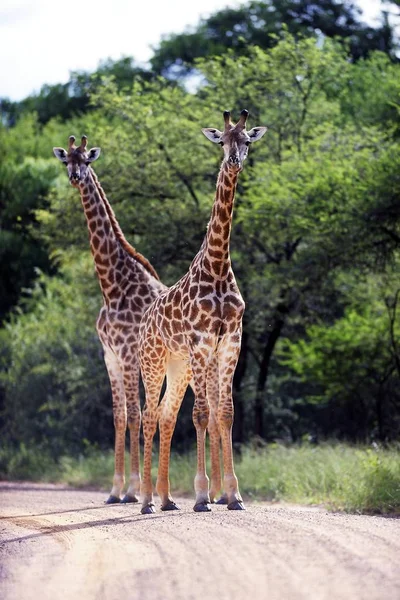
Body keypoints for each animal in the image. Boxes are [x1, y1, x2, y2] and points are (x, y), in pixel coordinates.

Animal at [53, 135, 166, 502]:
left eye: (87, 161)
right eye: (66, 161)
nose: (75, 177)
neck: (112, 286)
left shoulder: (128, 354)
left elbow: (133, 416)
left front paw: (133, 490)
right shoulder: (110, 356)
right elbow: (119, 417)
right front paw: (115, 490)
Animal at [139, 113, 268, 516]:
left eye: (246, 140)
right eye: (221, 141)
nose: (234, 160)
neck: (218, 265)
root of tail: (146, 319)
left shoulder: (230, 342)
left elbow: (224, 412)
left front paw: (234, 495)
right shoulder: (200, 342)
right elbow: (200, 415)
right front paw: (200, 496)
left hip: (178, 365)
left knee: (165, 415)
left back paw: (165, 500)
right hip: (153, 362)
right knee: (148, 416)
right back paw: (145, 501)